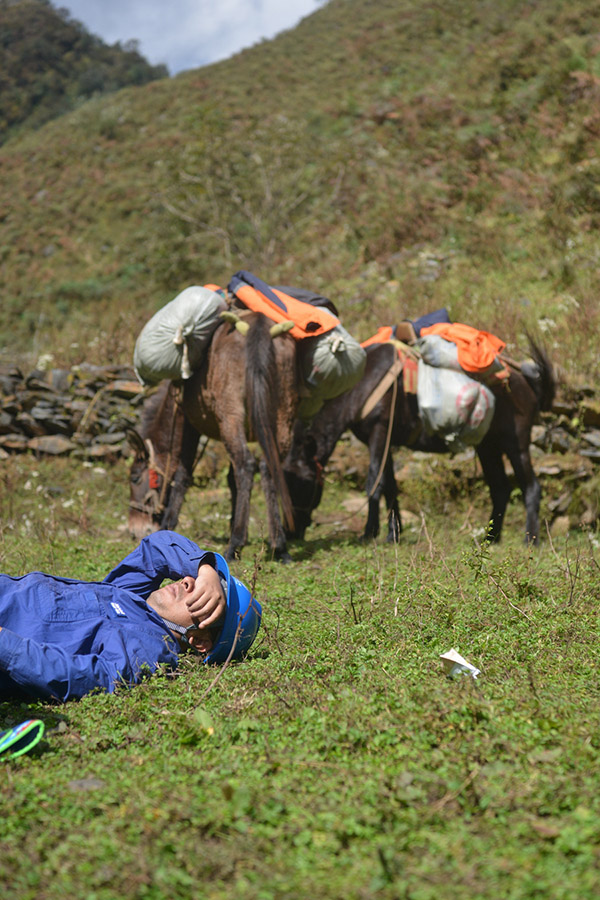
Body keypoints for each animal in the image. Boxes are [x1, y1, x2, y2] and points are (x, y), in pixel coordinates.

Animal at [130, 312, 300, 560]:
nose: (134, 530)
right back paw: (279, 545)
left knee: (246, 465)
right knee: (268, 468)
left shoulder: (186, 422)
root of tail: (259, 324)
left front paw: (169, 524)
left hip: (230, 416)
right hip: (282, 415)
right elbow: (230, 480)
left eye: (134, 478)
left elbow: (182, 474)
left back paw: (235, 544)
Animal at [284, 336, 556, 540]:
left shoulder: (378, 434)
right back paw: (490, 539)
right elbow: (390, 485)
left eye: (304, 483)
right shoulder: (386, 442)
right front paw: (393, 533)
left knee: (531, 486)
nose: (292, 534)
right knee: (500, 489)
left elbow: (374, 482)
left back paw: (530, 539)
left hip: (515, 443)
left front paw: (369, 533)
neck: (364, 384)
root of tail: (527, 383)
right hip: (488, 446)